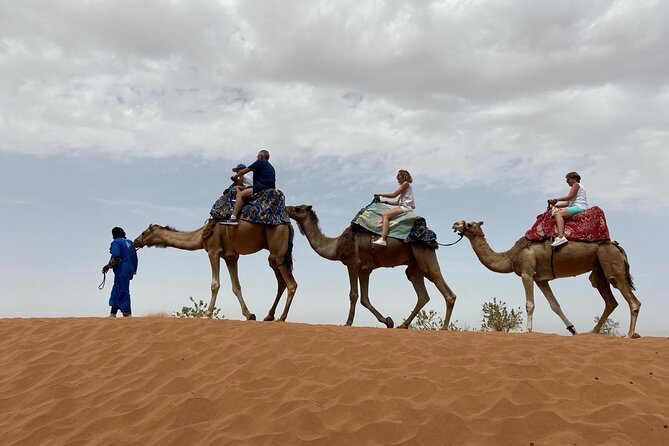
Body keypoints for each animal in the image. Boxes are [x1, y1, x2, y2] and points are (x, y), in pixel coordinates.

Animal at [134, 221, 296, 322]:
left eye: (143, 233)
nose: (135, 241)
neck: (201, 235)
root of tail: (288, 225)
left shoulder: (213, 250)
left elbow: (215, 284)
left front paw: (207, 314)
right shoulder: (231, 257)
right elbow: (236, 286)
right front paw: (249, 315)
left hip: (278, 250)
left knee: (291, 284)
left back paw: (282, 317)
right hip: (275, 255)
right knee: (281, 282)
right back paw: (269, 316)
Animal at [284, 205, 456, 328]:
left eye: (298, 208)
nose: (286, 208)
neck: (335, 245)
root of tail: (432, 237)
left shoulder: (352, 264)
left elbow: (354, 295)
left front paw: (347, 323)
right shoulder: (365, 270)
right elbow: (365, 299)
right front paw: (388, 321)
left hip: (424, 254)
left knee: (440, 283)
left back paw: (444, 328)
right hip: (415, 265)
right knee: (423, 293)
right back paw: (402, 325)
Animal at [452, 220, 640, 338]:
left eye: (470, 223)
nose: (455, 224)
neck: (511, 257)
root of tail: (618, 247)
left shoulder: (527, 273)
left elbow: (530, 304)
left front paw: (527, 331)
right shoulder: (541, 280)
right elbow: (555, 305)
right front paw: (573, 330)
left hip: (611, 264)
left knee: (632, 300)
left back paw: (629, 335)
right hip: (598, 270)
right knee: (610, 301)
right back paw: (593, 332)